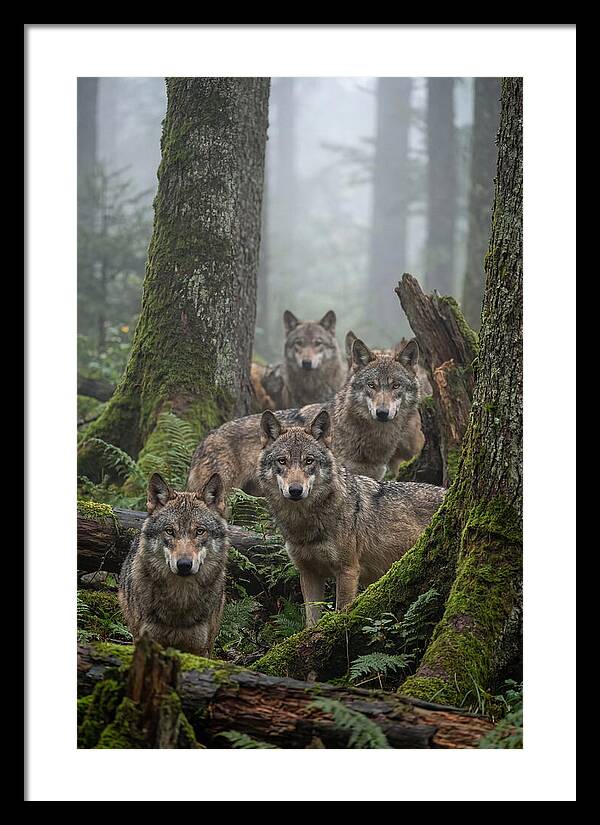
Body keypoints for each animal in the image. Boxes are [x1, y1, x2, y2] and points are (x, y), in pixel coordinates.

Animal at [258, 409, 445, 627]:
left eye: (309, 461)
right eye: (282, 461)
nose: (295, 490)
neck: (304, 524)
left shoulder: (347, 571)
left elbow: (341, 612)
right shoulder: (308, 573)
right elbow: (311, 621)